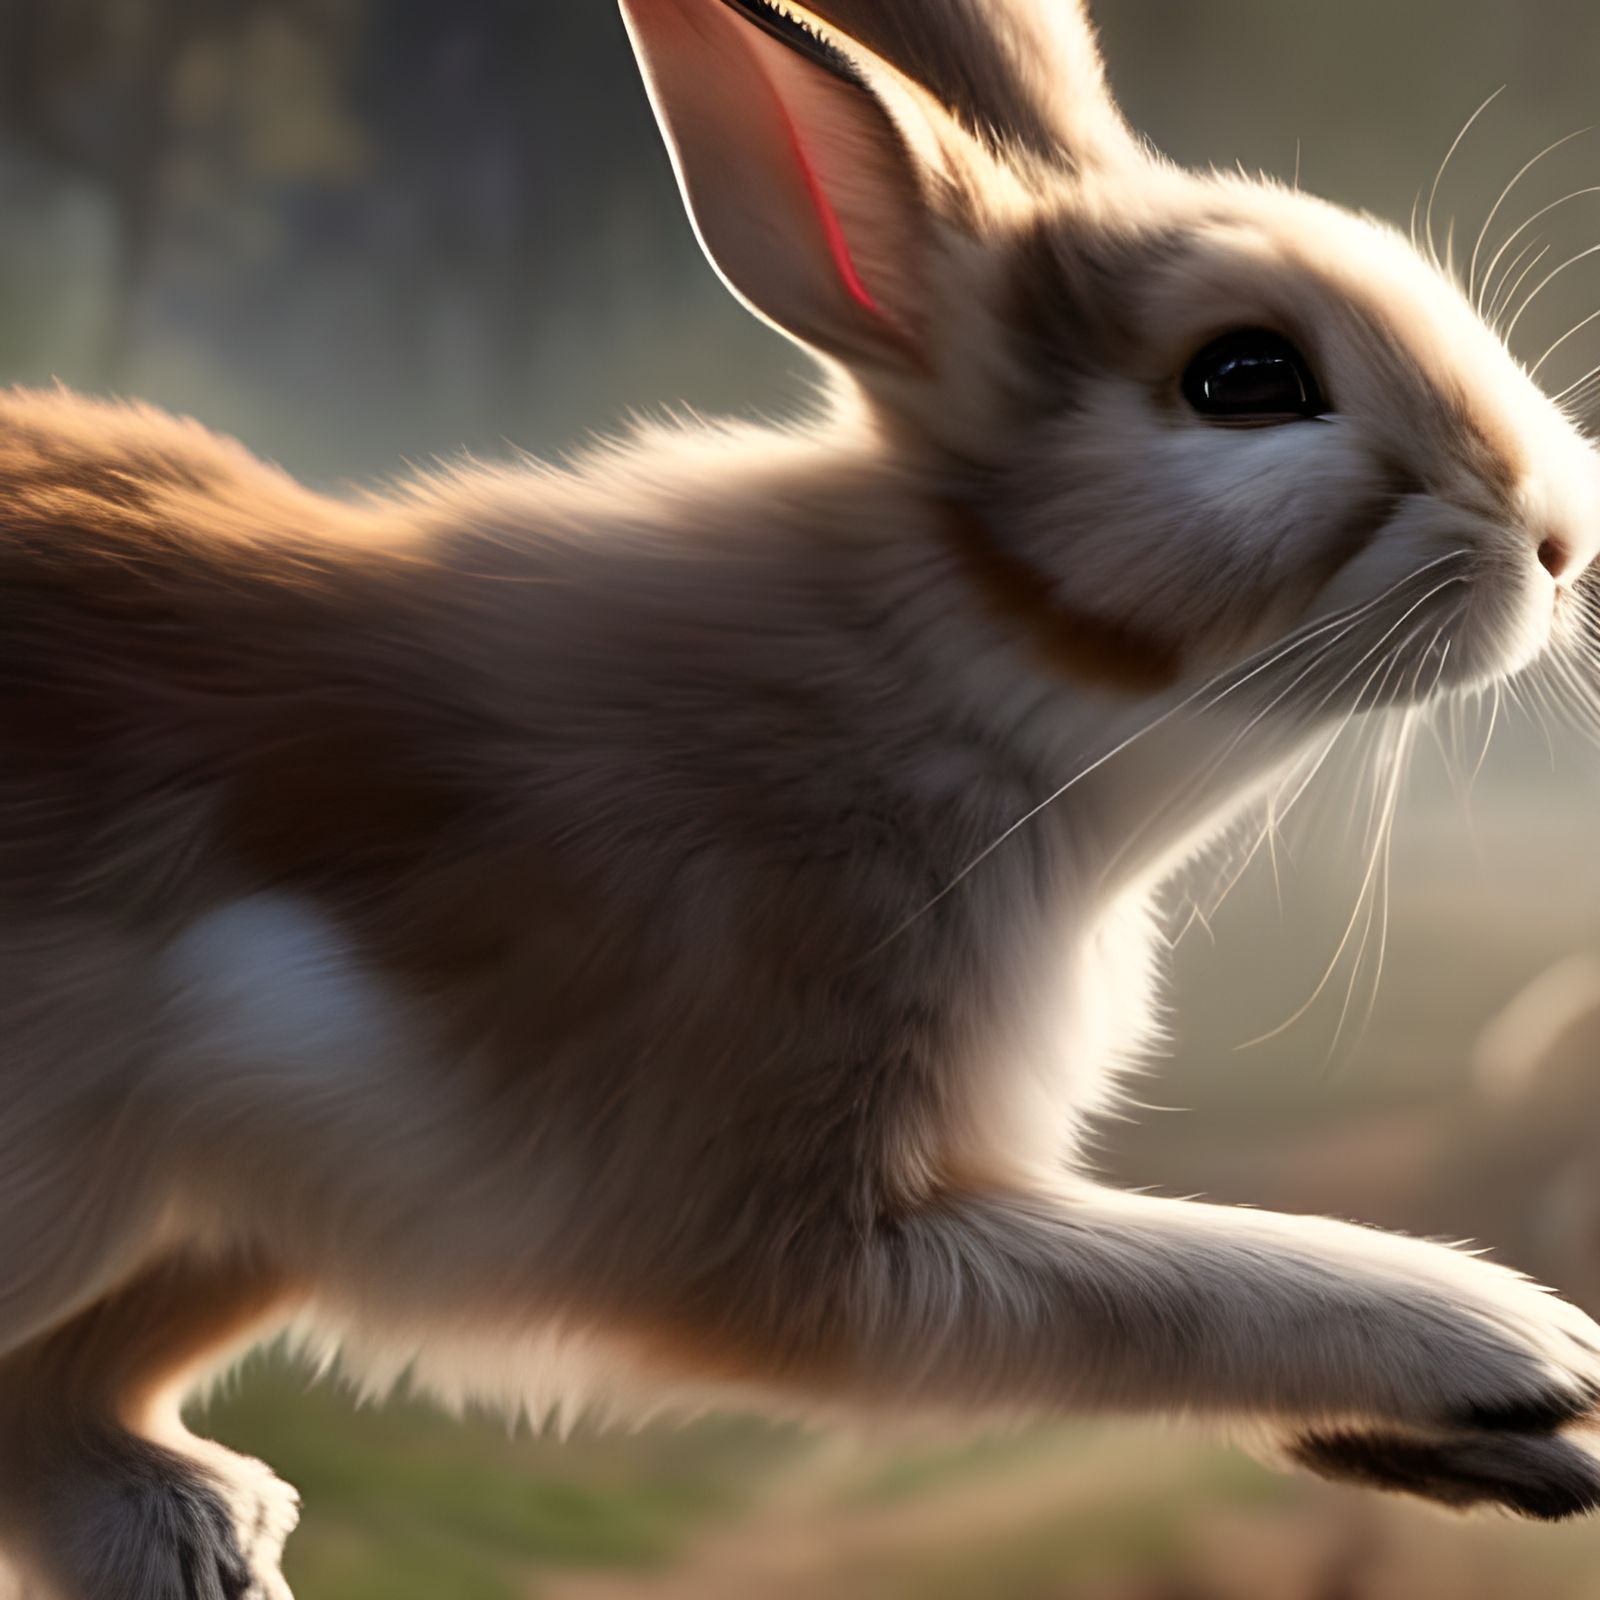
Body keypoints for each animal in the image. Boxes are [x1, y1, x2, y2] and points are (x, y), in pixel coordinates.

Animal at [3, 0, 1600, 1593]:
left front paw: (1519, 1438)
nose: (1557, 536)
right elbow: (1143, 1292)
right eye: (1246, 378)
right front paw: (1518, 1347)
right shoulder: (779, 1196)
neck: (951, 673)